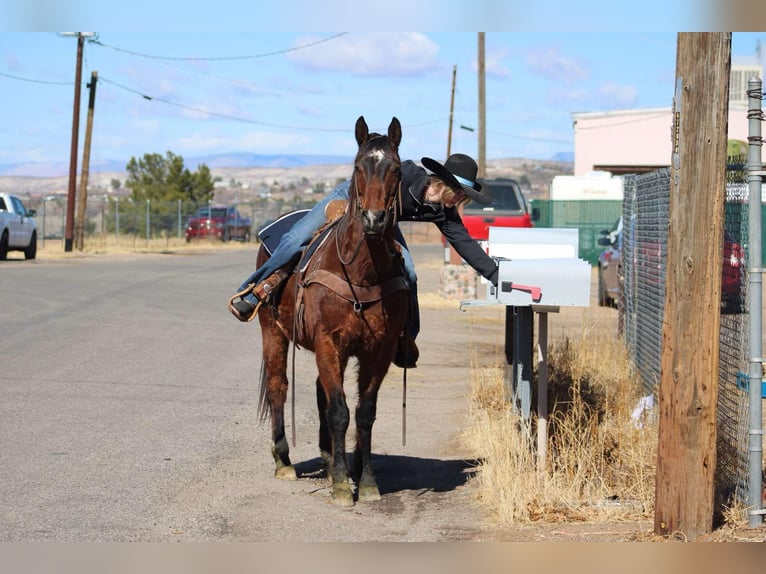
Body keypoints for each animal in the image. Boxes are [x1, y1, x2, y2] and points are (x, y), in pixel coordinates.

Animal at [255, 117, 412, 508]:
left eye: (396, 169)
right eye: (358, 168)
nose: (373, 219)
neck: (360, 273)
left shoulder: (379, 350)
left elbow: (364, 413)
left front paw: (366, 482)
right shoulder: (328, 343)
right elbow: (339, 411)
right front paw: (342, 484)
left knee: (319, 391)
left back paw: (328, 457)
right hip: (272, 331)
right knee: (279, 386)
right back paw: (284, 460)